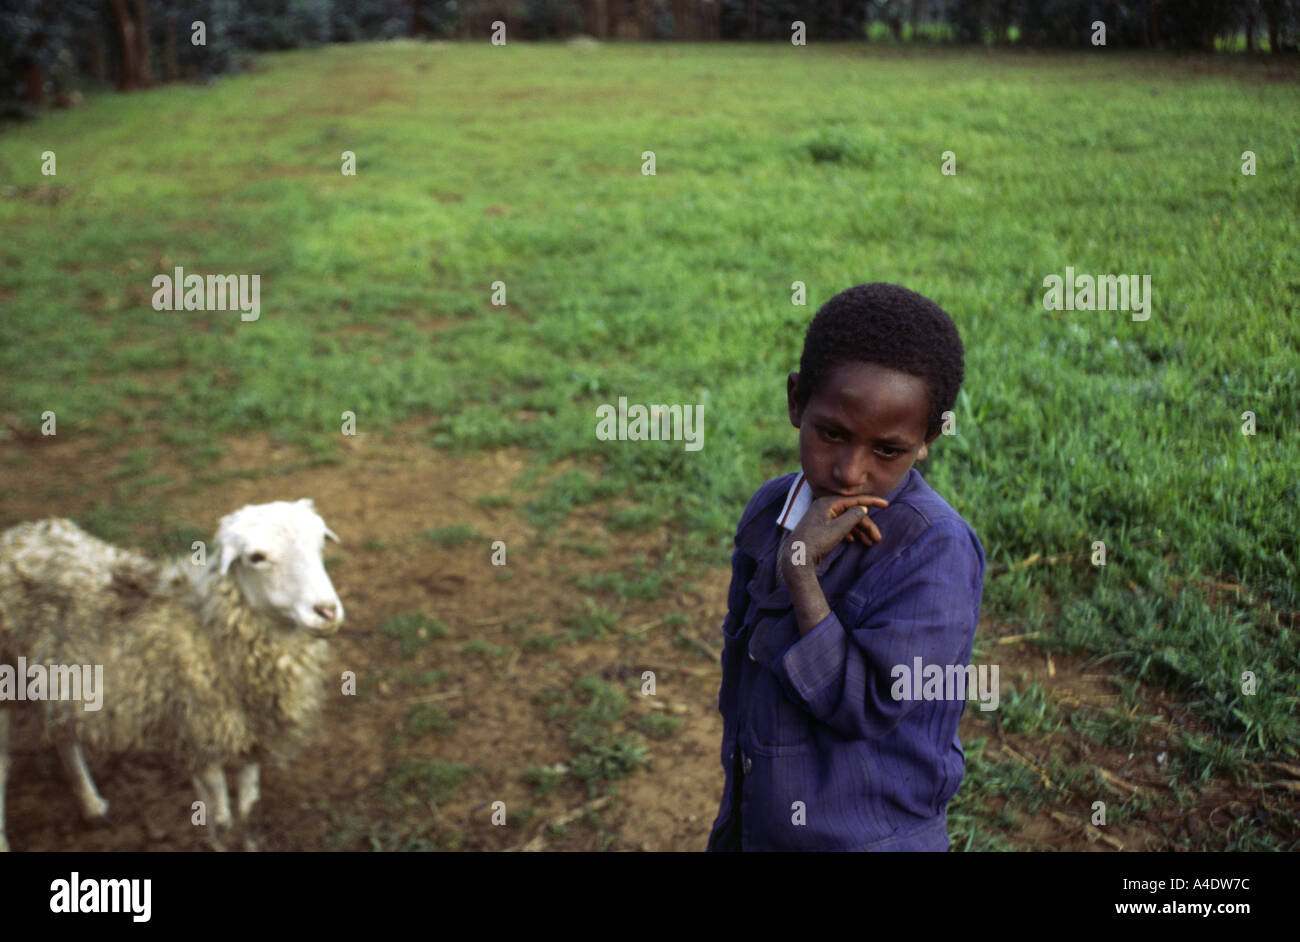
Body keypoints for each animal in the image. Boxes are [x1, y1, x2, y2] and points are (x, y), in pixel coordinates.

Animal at [0, 498, 345, 852]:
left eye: (320, 543)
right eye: (256, 557)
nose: (327, 612)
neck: (207, 627)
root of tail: (19, 534)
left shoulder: (251, 736)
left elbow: (249, 815)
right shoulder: (199, 740)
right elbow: (221, 821)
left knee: (62, 733)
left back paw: (91, 805)